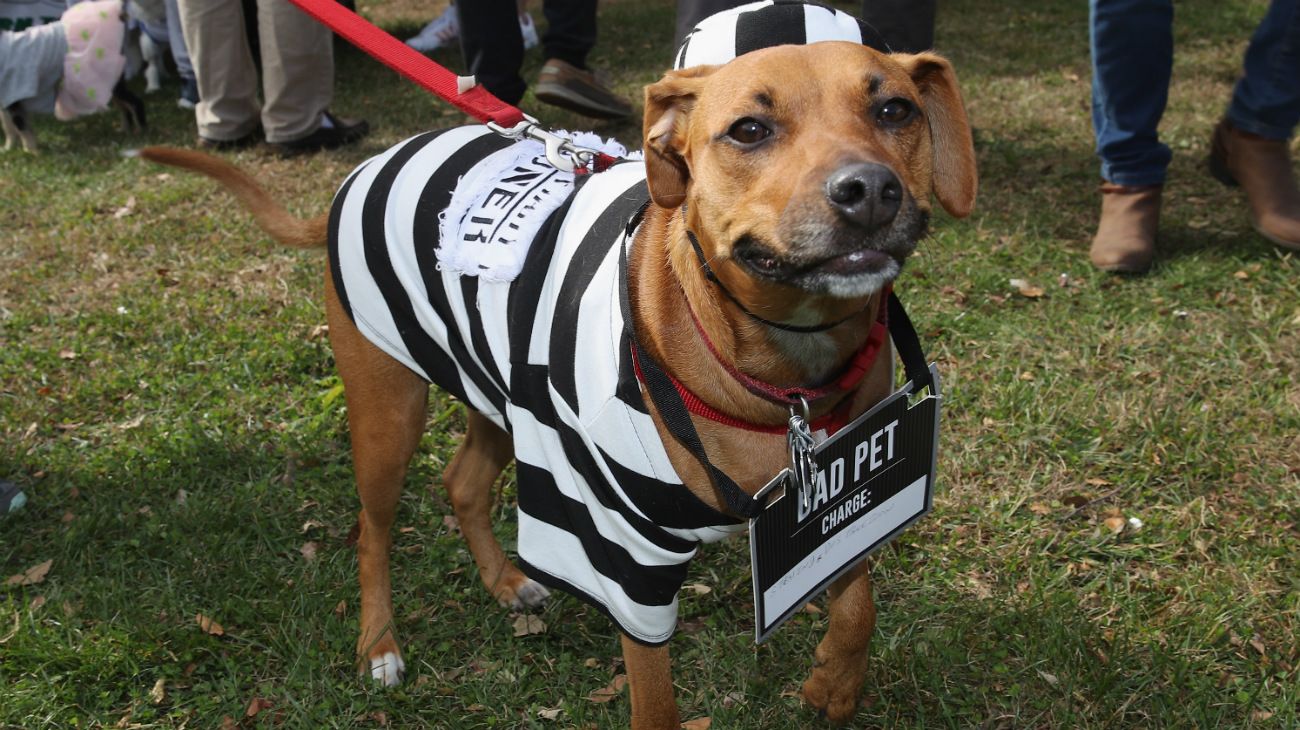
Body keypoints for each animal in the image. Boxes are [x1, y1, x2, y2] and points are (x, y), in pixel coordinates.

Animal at [144, 41, 977, 727]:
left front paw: (835, 680)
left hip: (499, 389)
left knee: (462, 482)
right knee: (373, 532)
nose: (868, 189)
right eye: (747, 130)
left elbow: (857, 596)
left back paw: (506, 583)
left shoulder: (849, 483)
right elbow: (657, 704)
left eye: (895, 109)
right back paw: (378, 644)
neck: (782, 372)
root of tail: (364, 173)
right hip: (388, 412)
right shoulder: (625, 559)